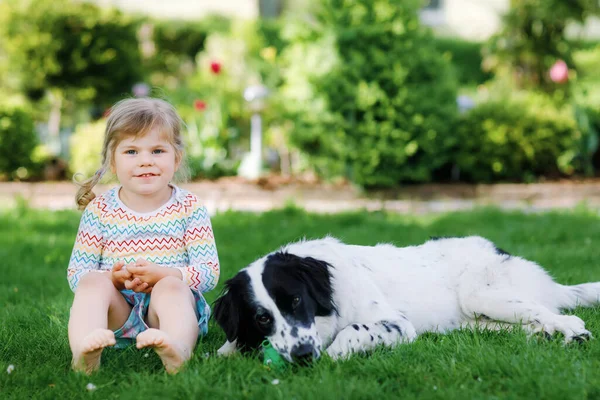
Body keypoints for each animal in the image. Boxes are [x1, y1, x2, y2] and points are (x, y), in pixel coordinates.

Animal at [213, 238, 596, 362]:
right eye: (262, 318)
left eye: (294, 301)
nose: (304, 355)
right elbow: (228, 346)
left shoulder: (396, 324)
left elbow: (352, 331)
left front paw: (335, 354)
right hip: (476, 322)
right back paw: (541, 335)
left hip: (480, 293)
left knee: (558, 313)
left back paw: (572, 332)